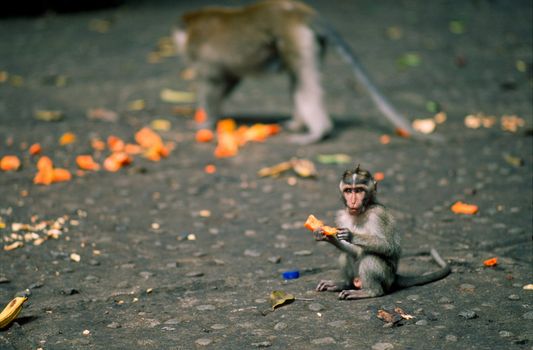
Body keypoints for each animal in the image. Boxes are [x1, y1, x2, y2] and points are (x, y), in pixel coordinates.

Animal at [174, 0, 428, 144]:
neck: (194, 26)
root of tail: (299, 12)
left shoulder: (204, 59)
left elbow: (212, 85)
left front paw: (205, 121)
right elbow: (230, 80)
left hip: (295, 37)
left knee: (305, 84)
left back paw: (318, 132)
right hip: (309, 42)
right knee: (299, 80)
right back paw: (298, 124)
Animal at [314, 165, 450, 300]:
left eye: (358, 190)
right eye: (348, 191)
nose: (352, 201)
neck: (362, 211)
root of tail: (394, 277)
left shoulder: (378, 215)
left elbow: (388, 246)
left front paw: (351, 235)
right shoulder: (341, 216)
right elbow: (354, 251)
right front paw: (327, 236)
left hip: (386, 277)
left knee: (370, 257)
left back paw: (370, 292)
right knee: (345, 255)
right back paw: (345, 284)